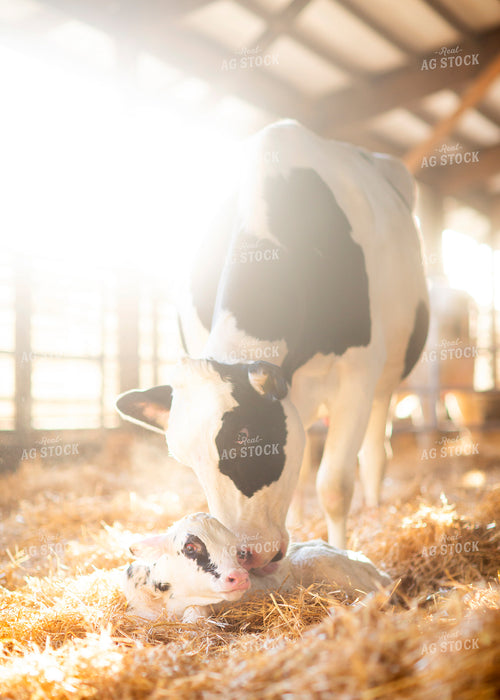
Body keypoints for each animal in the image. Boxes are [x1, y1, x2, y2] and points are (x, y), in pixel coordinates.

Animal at [116, 120, 429, 568]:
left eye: (246, 435)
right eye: (185, 460)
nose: (247, 554)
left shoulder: (357, 372)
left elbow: (334, 485)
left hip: (386, 378)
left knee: (375, 452)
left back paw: (374, 507)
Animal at [123, 512, 391, 621]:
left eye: (237, 551)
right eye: (190, 547)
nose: (240, 577)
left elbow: (195, 616)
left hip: (319, 559)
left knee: (377, 593)